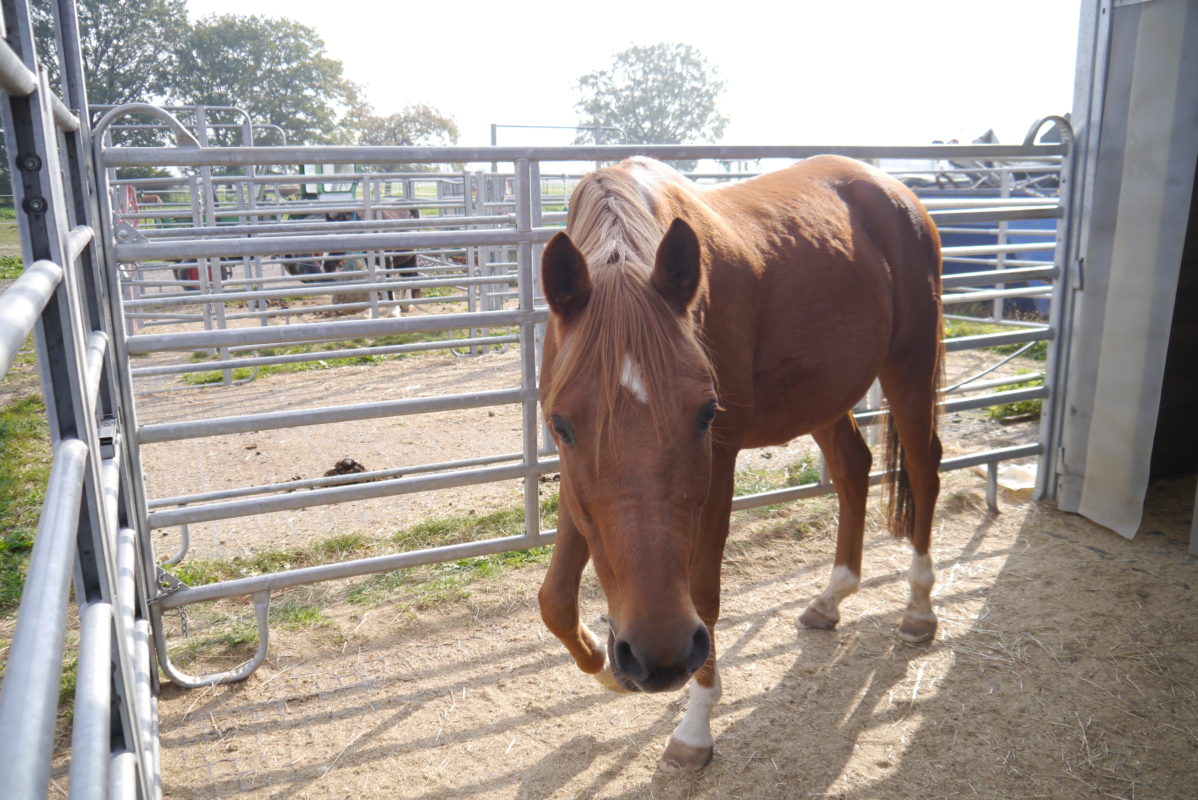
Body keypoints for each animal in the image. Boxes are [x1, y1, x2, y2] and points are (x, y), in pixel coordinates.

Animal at [543, 155, 944, 776]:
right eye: (561, 425)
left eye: (707, 414)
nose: (658, 656)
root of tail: (896, 190)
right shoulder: (573, 476)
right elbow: (556, 599)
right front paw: (603, 666)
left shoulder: (720, 466)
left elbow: (704, 592)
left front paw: (695, 727)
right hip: (826, 396)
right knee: (853, 469)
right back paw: (832, 598)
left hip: (910, 366)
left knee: (925, 472)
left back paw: (919, 607)